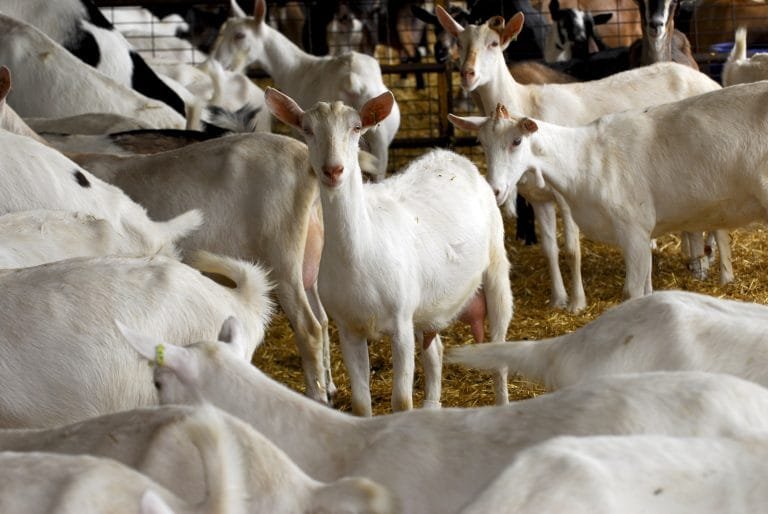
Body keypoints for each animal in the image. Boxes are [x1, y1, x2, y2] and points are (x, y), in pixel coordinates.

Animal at [211, 0, 400, 178]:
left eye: (240, 35)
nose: (220, 62)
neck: (295, 68)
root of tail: (353, 80)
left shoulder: (298, 130)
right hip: (381, 144)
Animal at [266, 88, 514, 413]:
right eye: (307, 129)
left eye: (357, 127)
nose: (333, 170)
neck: (361, 250)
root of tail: (452, 155)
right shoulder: (349, 329)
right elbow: (361, 404)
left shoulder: (400, 323)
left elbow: (402, 401)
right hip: (426, 305)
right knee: (434, 350)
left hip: (496, 267)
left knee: (499, 347)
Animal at [439, 7, 721, 311]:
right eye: (460, 43)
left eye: (493, 43)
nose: (467, 74)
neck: (525, 103)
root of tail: (705, 78)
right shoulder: (538, 197)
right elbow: (549, 249)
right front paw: (558, 298)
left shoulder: (566, 195)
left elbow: (572, 250)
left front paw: (577, 302)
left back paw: (706, 258)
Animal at [453, 82, 768, 298]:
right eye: (481, 143)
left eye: (517, 141)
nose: (494, 190)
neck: (583, 156)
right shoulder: (642, 234)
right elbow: (647, 289)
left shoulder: (633, 230)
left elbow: (633, 294)